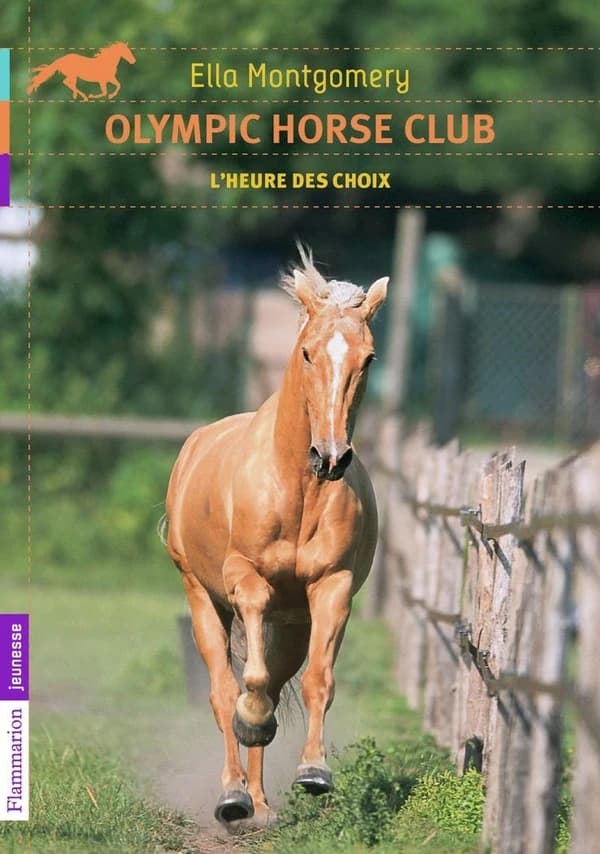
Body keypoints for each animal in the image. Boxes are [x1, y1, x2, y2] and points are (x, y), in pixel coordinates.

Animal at [164, 248, 388, 825]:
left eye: (368, 359)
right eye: (308, 353)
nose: (330, 457)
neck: (297, 489)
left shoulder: (331, 588)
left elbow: (316, 681)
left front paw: (314, 771)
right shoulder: (244, 579)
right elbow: (249, 684)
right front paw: (251, 724)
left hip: (291, 625)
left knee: (278, 681)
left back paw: (259, 803)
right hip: (201, 598)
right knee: (224, 690)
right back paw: (232, 795)